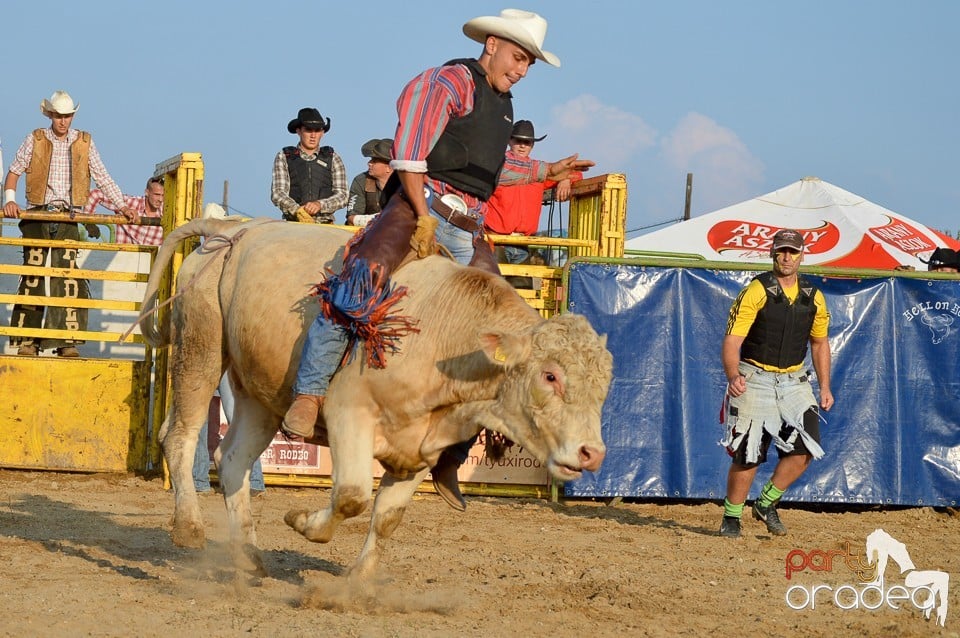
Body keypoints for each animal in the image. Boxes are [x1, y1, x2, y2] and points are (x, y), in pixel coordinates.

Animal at [138, 219, 612, 580]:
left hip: (260, 393)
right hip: (199, 347)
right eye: (550, 375)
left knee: (233, 458)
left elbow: (386, 518)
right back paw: (189, 528)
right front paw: (301, 522)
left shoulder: (421, 450)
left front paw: (357, 584)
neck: (446, 336)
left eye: (604, 386)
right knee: (179, 436)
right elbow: (351, 495)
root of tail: (232, 229)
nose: (592, 453)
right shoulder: (349, 414)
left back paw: (248, 555)